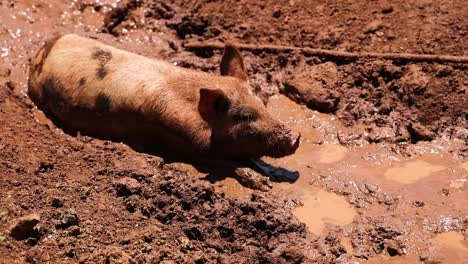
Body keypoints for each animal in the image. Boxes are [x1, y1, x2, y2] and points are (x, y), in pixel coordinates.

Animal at [29, 33, 300, 190]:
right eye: (245, 117)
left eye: (262, 103)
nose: (295, 137)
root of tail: (43, 49)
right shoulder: (188, 145)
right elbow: (225, 162)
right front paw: (263, 185)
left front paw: (270, 174)